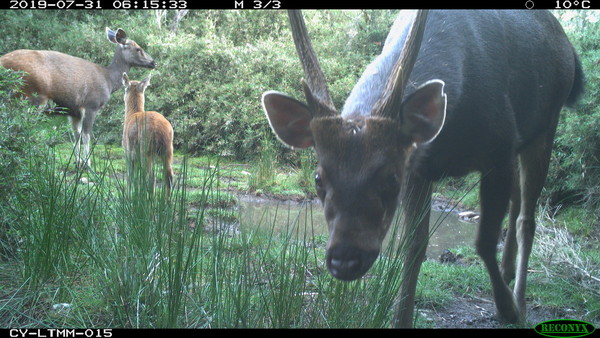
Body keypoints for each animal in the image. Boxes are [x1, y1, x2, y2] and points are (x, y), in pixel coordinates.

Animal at [0, 27, 157, 168]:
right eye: (138, 48)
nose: (154, 62)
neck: (108, 80)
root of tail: (3, 62)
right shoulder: (91, 104)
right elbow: (86, 135)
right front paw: (88, 164)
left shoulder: (73, 111)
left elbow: (76, 135)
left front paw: (77, 161)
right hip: (31, 96)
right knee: (21, 127)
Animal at [260, 9, 584, 328]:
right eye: (318, 178)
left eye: (391, 179)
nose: (345, 260)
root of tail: (568, 46)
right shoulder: (420, 169)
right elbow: (413, 247)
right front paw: (401, 319)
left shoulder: (500, 148)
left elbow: (484, 241)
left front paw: (508, 309)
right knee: (517, 203)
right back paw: (507, 273)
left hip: (546, 124)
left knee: (526, 220)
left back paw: (519, 299)